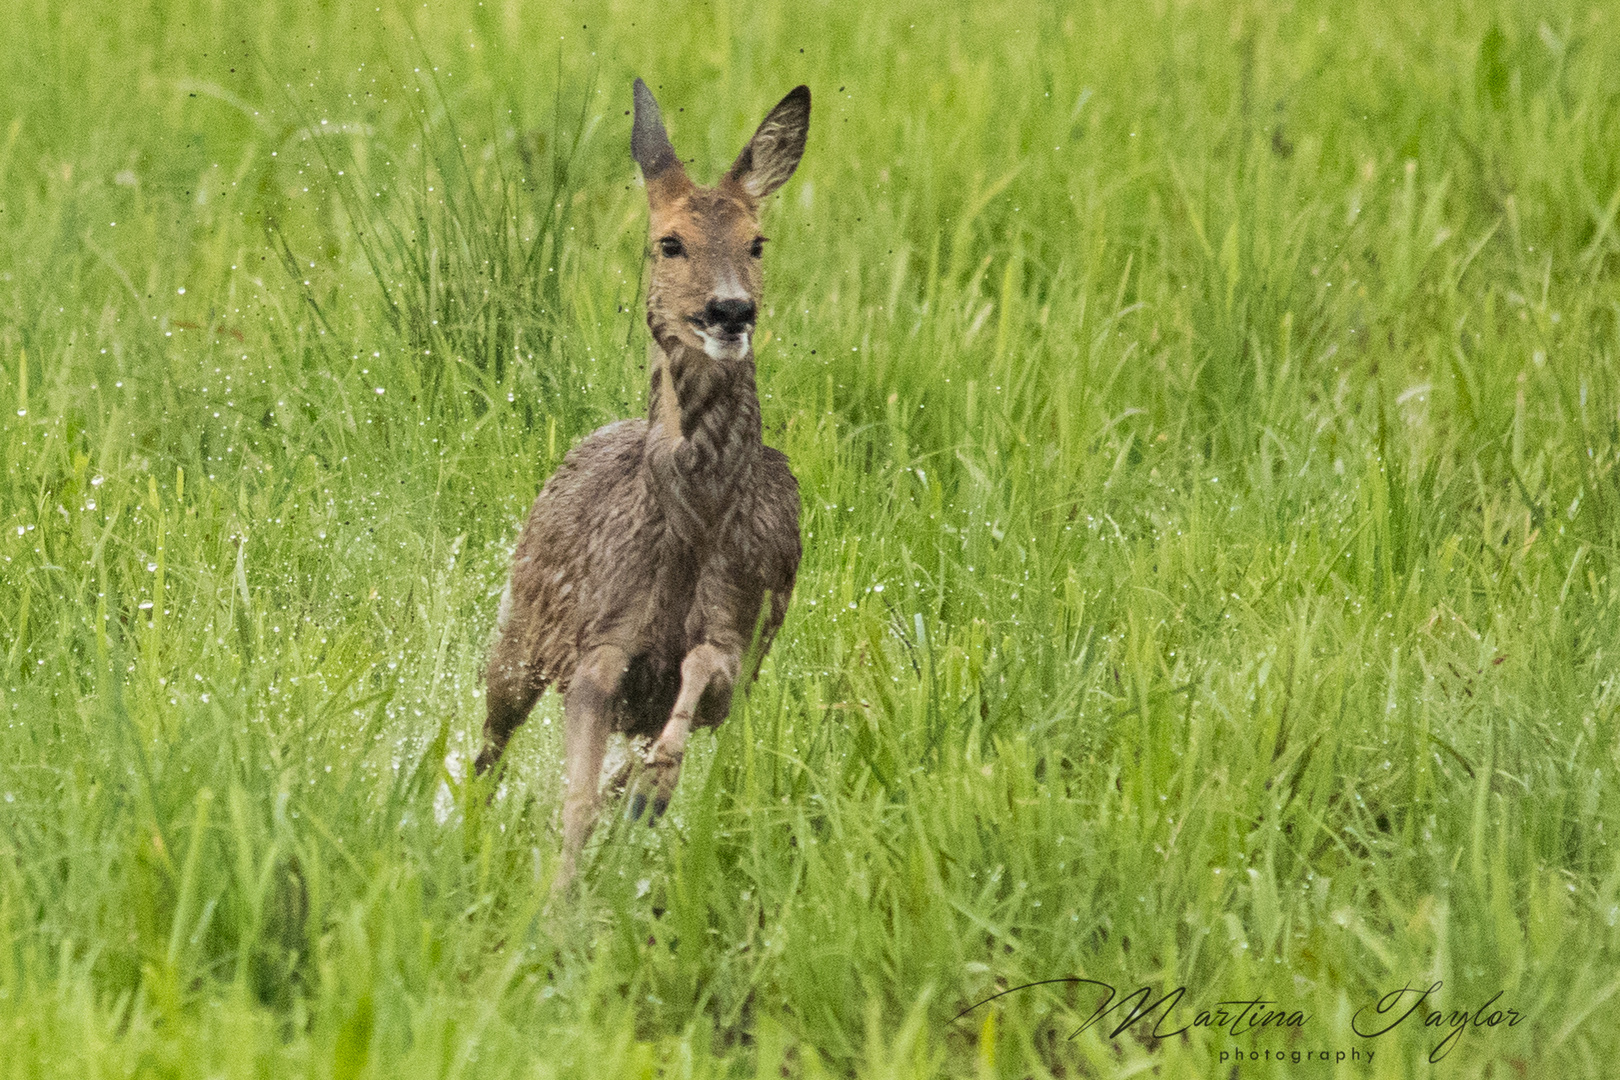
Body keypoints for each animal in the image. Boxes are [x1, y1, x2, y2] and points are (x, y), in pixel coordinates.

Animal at [476, 78, 810, 893]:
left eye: (757, 242)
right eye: (670, 242)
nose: (730, 309)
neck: (692, 519)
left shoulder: (739, 633)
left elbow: (700, 676)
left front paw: (650, 790)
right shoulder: (597, 640)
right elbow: (574, 796)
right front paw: (559, 901)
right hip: (518, 633)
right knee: (488, 746)